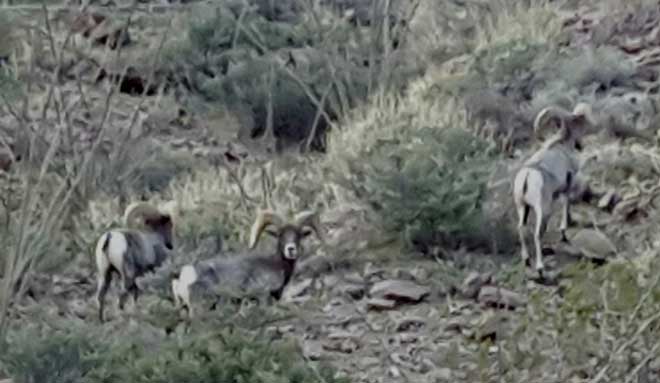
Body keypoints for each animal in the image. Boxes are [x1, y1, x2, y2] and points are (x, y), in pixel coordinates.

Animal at [171, 210, 324, 318]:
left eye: (298, 235)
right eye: (280, 235)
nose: (291, 249)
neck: (276, 265)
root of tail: (185, 275)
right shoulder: (262, 294)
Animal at [510, 103, 600, 274]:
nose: (580, 144)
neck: (561, 145)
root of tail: (528, 175)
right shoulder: (567, 185)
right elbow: (566, 206)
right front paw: (564, 232)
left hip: (522, 208)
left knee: (520, 228)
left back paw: (526, 260)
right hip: (542, 209)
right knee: (537, 234)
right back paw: (540, 267)